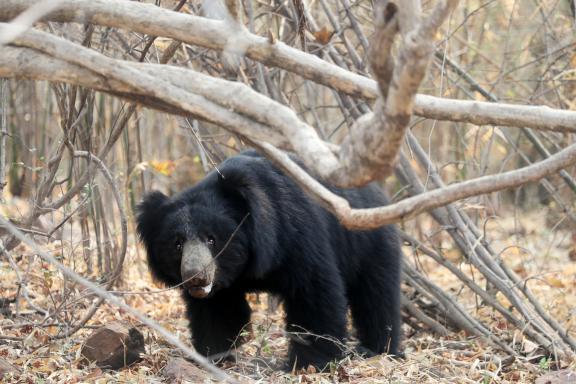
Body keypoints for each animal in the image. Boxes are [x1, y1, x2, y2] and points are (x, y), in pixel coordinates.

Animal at [137, 149, 402, 368]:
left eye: (211, 239)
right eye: (177, 244)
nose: (195, 277)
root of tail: (376, 192)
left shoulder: (296, 235)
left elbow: (313, 292)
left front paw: (311, 362)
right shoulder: (222, 284)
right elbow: (216, 311)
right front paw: (215, 356)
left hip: (371, 244)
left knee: (376, 296)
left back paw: (379, 349)